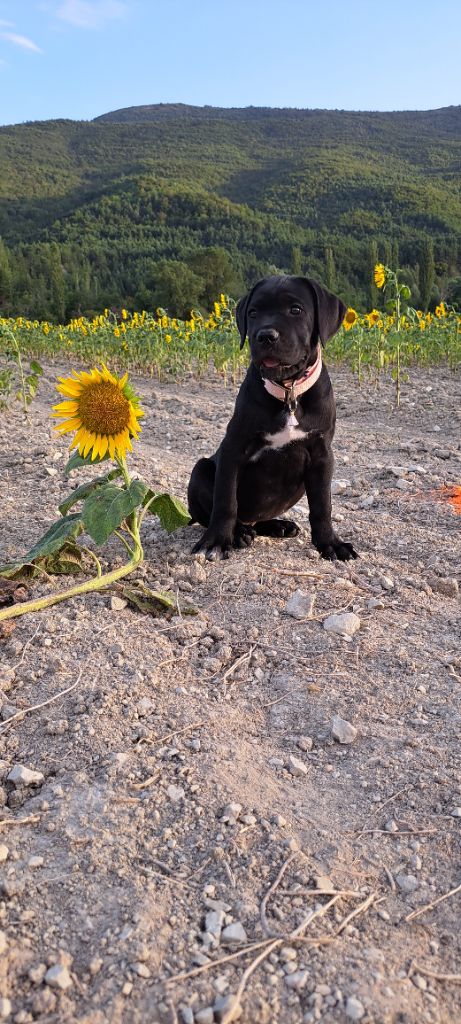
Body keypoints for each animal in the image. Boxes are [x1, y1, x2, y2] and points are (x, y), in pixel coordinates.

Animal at [186, 274, 356, 561]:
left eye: (296, 310)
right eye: (253, 313)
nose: (265, 336)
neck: (288, 391)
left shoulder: (322, 453)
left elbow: (323, 505)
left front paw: (330, 543)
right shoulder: (233, 448)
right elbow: (225, 501)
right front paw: (216, 541)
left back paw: (278, 526)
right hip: (200, 469)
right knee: (223, 512)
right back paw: (240, 533)